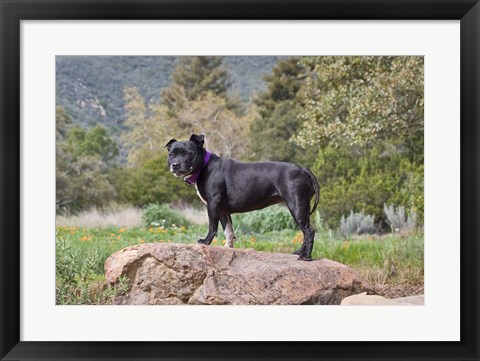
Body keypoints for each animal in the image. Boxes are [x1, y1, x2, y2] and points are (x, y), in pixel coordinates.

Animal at [165, 134, 318, 260]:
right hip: (303, 207)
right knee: (306, 231)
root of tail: (303, 169)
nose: (175, 164)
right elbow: (228, 230)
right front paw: (228, 248)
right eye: (171, 154)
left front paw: (205, 242)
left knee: (308, 231)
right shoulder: (222, 210)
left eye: (188, 154)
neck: (204, 166)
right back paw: (300, 253)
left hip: (296, 205)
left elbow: (212, 227)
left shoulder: (213, 204)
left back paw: (306, 257)